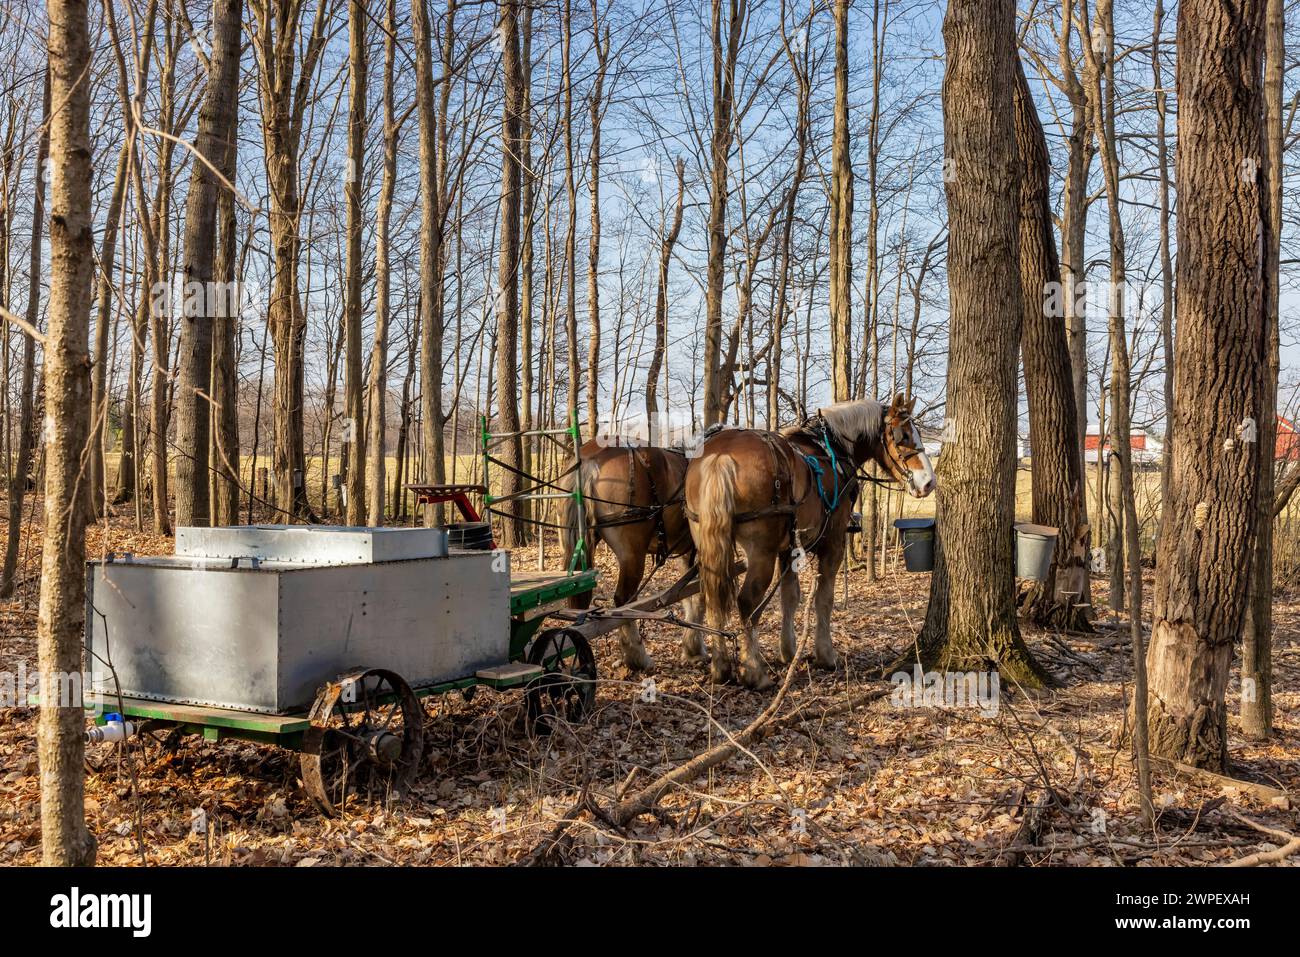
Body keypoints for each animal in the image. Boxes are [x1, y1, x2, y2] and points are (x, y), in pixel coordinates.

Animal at [691, 395, 935, 686]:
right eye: (904, 435)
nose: (929, 482)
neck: (832, 450)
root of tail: (721, 455)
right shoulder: (833, 541)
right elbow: (824, 598)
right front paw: (825, 654)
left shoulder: (788, 548)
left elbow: (790, 597)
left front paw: (788, 651)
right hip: (761, 550)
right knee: (748, 601)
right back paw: (754, 671)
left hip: (708, 541)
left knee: (711, 595)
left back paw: (720, 667)